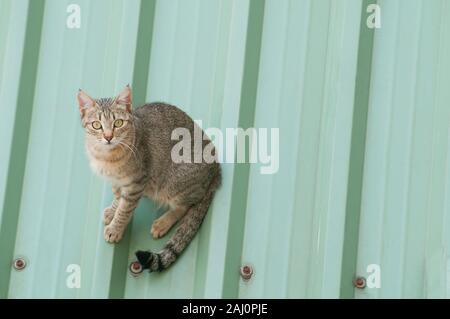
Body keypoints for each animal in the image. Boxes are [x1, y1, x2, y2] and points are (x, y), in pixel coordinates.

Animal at [77, 85, 221, 272]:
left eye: (118, 123)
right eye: (96, 125)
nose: (108, 137)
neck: (107, 157)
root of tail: (217, 167)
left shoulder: (136, 182)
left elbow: (125, 209)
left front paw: (115, 228)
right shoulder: (117, 182)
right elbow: (118, 197)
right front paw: (112, 210)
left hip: (173, 184)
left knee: (187, 205)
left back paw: (163, 222)